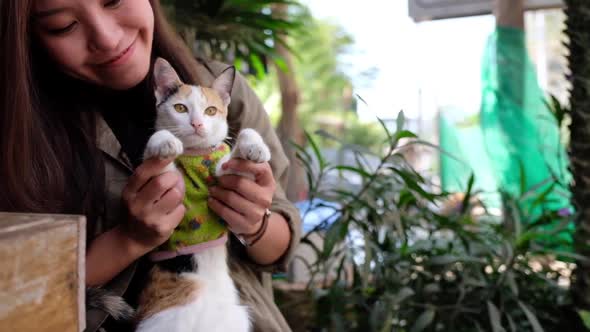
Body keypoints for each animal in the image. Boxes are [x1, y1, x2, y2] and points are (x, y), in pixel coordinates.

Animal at [132, 59, 270, 332]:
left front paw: (256, 147)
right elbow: (158, 154)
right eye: (180, 108)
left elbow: (243, 139)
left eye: (211, 111)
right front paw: (165, 141)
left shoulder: (223, 172)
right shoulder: (168, 183)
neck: (195, 156)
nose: (196, 124)